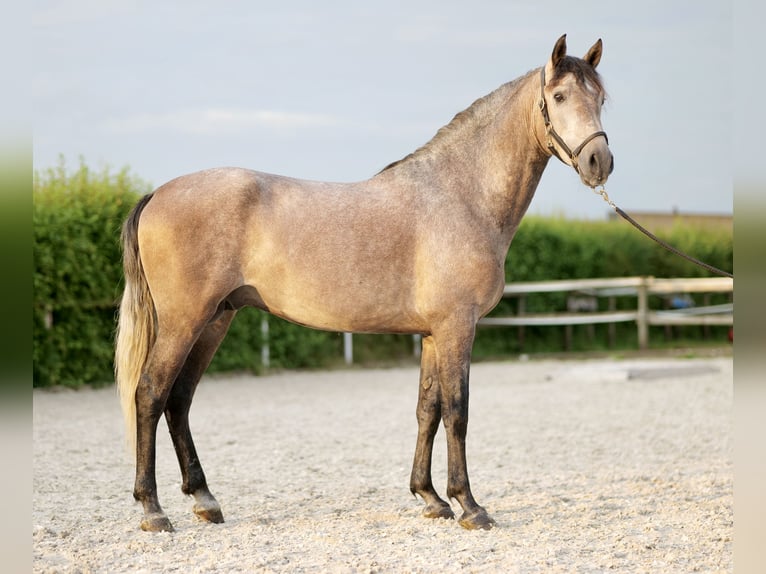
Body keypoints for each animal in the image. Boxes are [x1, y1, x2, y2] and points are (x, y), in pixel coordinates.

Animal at [114, 33, 616, 532]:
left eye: (601, 98)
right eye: (559, 96)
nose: (599, 161)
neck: (460, 196)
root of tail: (157, 194)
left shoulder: (432, 334)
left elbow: (427, 410)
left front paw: (430, 498)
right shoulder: (457, 327)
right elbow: (458, 411)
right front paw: (469, 505)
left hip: (215, 320)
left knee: (179, 400)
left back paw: (204, 499)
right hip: (185, 321)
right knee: (150, 393)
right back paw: (153, 508)